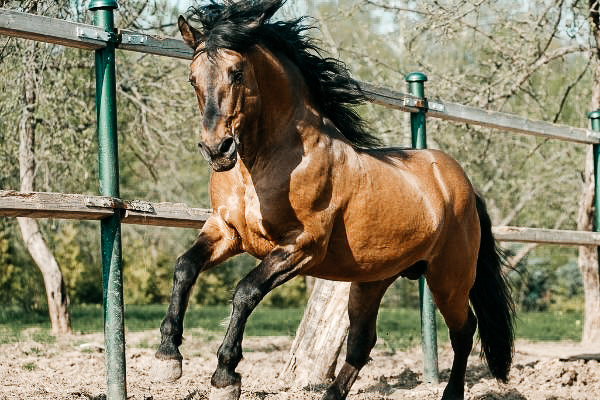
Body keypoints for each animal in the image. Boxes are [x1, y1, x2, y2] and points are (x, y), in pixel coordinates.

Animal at [152, 1, 512, 398]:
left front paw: (225, 375)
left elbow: (245, 291)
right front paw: (168, 358)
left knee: (464, 331)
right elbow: (185, 267)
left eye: (237, 72)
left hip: (449, 277)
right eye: (193, 78)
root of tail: (464, 185)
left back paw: (450, 392)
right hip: (373, 280)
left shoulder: (303, 245)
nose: (217, 149)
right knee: (362, 342)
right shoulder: (227, 231)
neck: (264, 165)